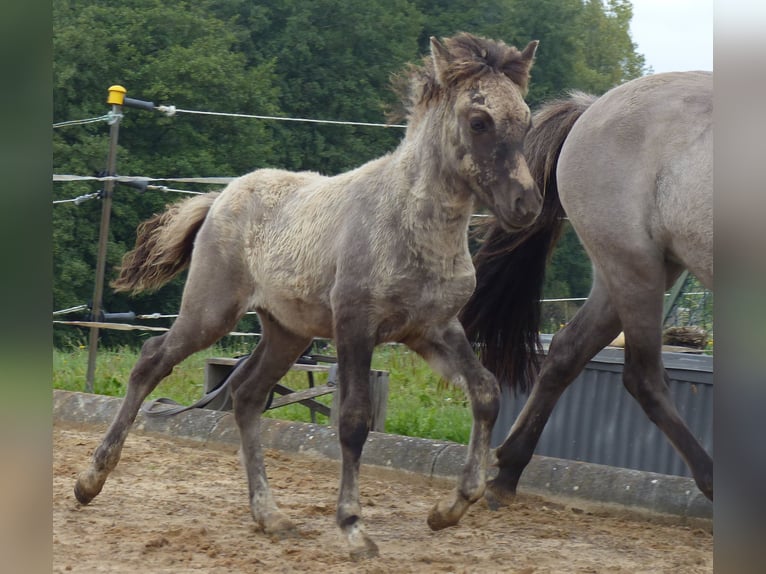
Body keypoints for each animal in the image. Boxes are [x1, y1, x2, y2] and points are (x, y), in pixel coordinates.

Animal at [70, 32, 540, 564]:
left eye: (525, 119)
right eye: (479, 121)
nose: (526, 204)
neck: (409, 223)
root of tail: (220, 197)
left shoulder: (432, 330)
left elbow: (485, 392)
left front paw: (450, 508)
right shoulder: (356, 327)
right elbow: (353, 421)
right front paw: (353, 527)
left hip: (286, 332)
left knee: (247, 394)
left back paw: (269, 515)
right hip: (210, 311)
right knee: (152, 360)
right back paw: (90, 481)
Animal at [462, 72, 720, 508]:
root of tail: (592, 106)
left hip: (632, 271)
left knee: (567, 351)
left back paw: (509, 470)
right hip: (634, 267)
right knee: (642, 377)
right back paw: (713, 480)